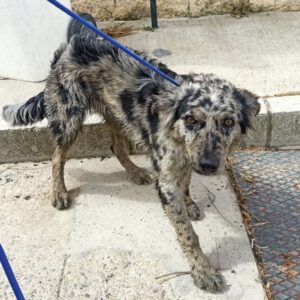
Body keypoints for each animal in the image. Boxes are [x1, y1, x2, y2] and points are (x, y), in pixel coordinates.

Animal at [1, 34, 260, 292]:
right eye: (191, 119)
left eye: (228, 122)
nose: (208, 165)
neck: (176, 133)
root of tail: (68, 45)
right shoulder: (167, 180)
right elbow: (188, 234)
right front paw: (203, 271)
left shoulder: (184, 160)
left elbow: (186, 183)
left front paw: (188, 203)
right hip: (69, 120)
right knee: (57, 158)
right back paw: (59, 192)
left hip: (117, 112)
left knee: (116, 146)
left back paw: (135, 172)